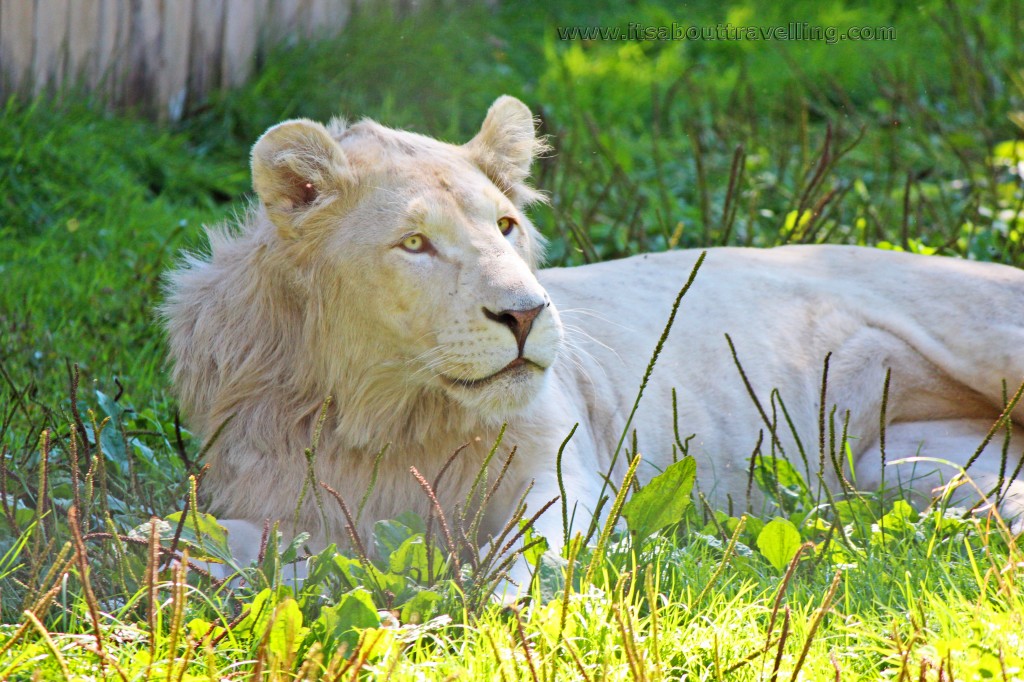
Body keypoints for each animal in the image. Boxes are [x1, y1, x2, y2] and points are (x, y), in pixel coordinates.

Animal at [165, 94, 1024, 585]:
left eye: (505, 226)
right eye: (415, 244)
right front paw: (174, 560)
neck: (383, 416)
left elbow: (528, 564)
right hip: (904, 472)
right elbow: (212, 543)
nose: (525, 314)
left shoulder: (556, 476)